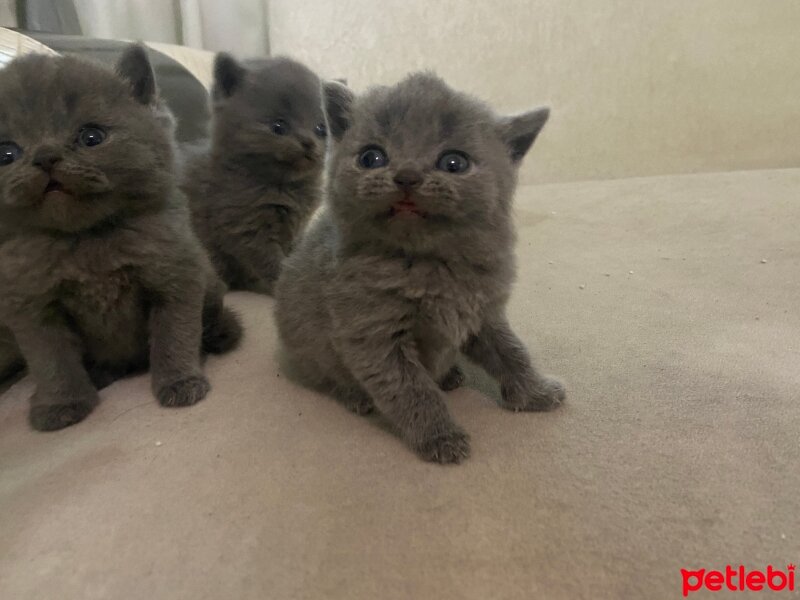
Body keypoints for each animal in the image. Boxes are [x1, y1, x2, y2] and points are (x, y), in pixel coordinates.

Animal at [0, 45, 241, 432]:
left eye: (91, 137)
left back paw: (219, 334)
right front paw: (60, 404)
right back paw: (100, 374)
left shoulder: (176, 278)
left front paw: (180, 382)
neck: (85, 239)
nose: (45, 157)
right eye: (6, 153)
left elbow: (175, 334)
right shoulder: (32, 307)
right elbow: (51, 360)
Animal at [183, 55, 330, 294]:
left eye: (321, 129)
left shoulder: (297, 229)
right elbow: (271, 261)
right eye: (278, 126)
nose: (308, 142)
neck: (285, 185)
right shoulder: (246, 226)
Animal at [276, 71, 564, 464]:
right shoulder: (372, 333)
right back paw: (355, 396)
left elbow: (512, 351)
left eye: (454, 163)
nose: (407, 175)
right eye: (371, 157)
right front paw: (441, 438)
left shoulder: (483, 311)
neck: (430, 264)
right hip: (306, 346)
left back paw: (451, 375)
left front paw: (537, 393)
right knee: (325, 374)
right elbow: (411, 389)